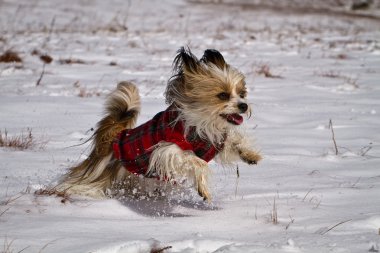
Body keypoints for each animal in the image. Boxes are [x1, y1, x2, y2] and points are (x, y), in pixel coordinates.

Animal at [54, 47, 262, 202]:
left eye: (242, 93)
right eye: (223, 95)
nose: (243, 106)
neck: (202, 123)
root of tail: (112, 138)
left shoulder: (213, 142)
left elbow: (233, 142)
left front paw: (249, 155)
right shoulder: (166, 150)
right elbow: (196, 161)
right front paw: (203, 189)